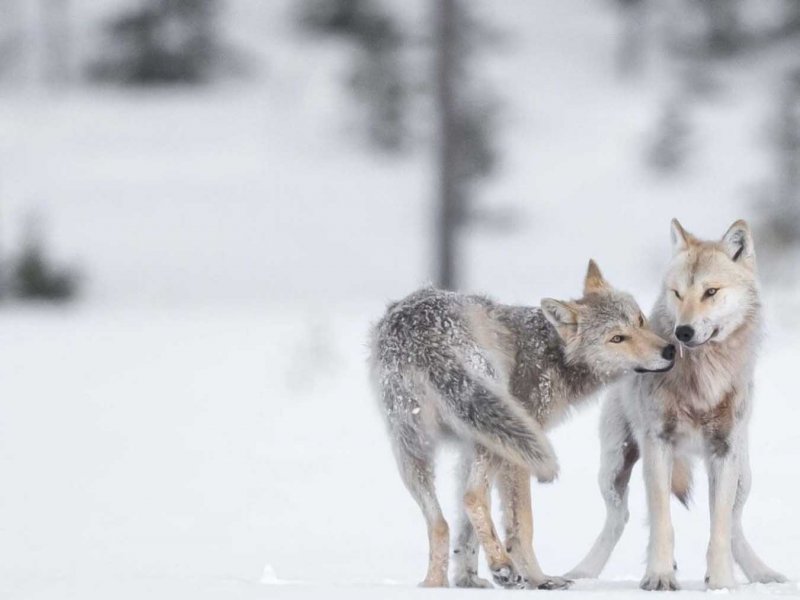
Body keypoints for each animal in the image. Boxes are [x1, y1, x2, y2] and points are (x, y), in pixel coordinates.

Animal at [369, 261, 676, 589]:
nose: (669, 350)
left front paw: (467, 580)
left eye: (640, 321)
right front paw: (536, 579)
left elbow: (466, 534)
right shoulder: (515, 459)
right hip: (497, 438)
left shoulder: (468, 450)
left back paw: (435, 584)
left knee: (440, 523)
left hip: (419, 453)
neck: (553, 354)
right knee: (472, 497)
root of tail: (416, 329)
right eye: (617, 338)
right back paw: (505, 567)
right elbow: (521, 527)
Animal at [566, 220, 787, 590]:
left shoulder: (724, 451)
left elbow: (720, 528)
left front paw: (722, 583)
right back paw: (580, 573)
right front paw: (659, 576)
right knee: (619, 518)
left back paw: (761, 573)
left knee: (734, 524)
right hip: (614, 467)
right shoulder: (659, 443)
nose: (683, 332)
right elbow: (662, 522)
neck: (703, 377)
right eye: (677, 294)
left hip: (742, 474)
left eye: (710, 292)